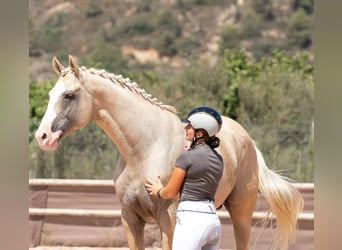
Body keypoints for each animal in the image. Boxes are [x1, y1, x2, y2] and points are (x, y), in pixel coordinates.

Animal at [34, 55, 302, 250]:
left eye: (69, 95)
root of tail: (247, 139)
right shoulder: (130, 219)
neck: (143, 150)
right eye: (50, 95)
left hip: (241, 214)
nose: (43, 136)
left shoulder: (169, 220)